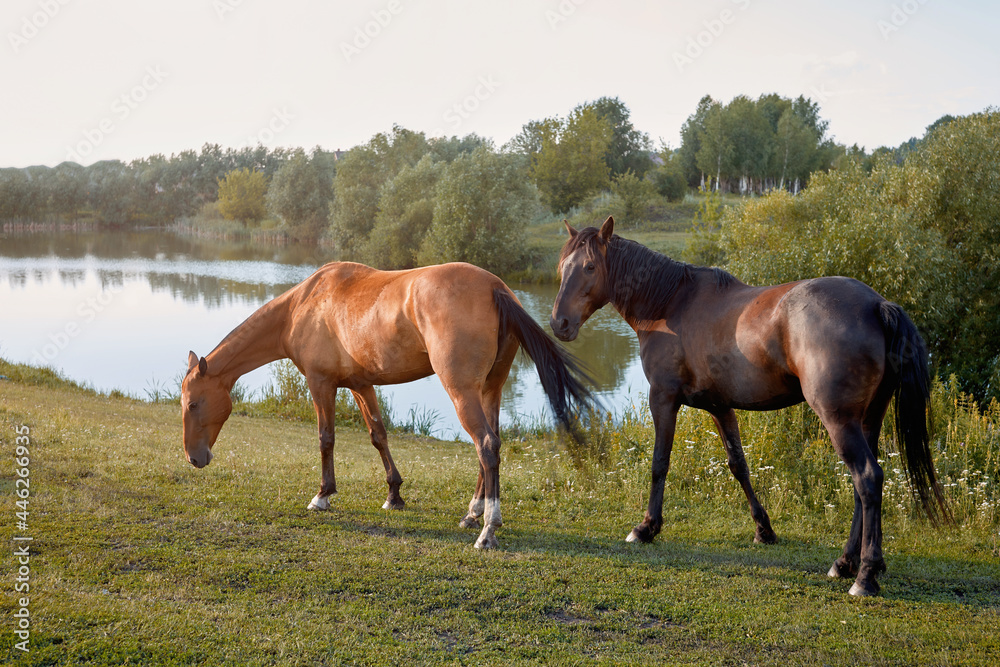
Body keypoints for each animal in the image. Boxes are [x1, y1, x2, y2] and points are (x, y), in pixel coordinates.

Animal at [183, 260, 588, 548]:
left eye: (191, 404)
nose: (193, 458)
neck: (304, 304)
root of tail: (496, 287)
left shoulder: (320, 383)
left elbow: (325, 438)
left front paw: (322, 496)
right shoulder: (361, 385)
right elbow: (379, 435)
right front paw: (394, 493)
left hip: (463, 391)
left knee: (485, 445)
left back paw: (487, 530)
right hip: (490, 389)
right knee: (489, 446)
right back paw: (473, 515)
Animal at [552, 217, 948, 596]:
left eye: (589, 267)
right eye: (561, 267)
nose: (559, 323)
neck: (670, 303)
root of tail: (877, 305)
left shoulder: (662, 398)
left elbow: (659, 463)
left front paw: (647, 527)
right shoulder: (720, 407)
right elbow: (738, 466)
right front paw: (764, 529)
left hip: (839, 421)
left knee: (867, 478)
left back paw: (864, 576)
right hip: (867, 420)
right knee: (861, 485)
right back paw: (846, 563)